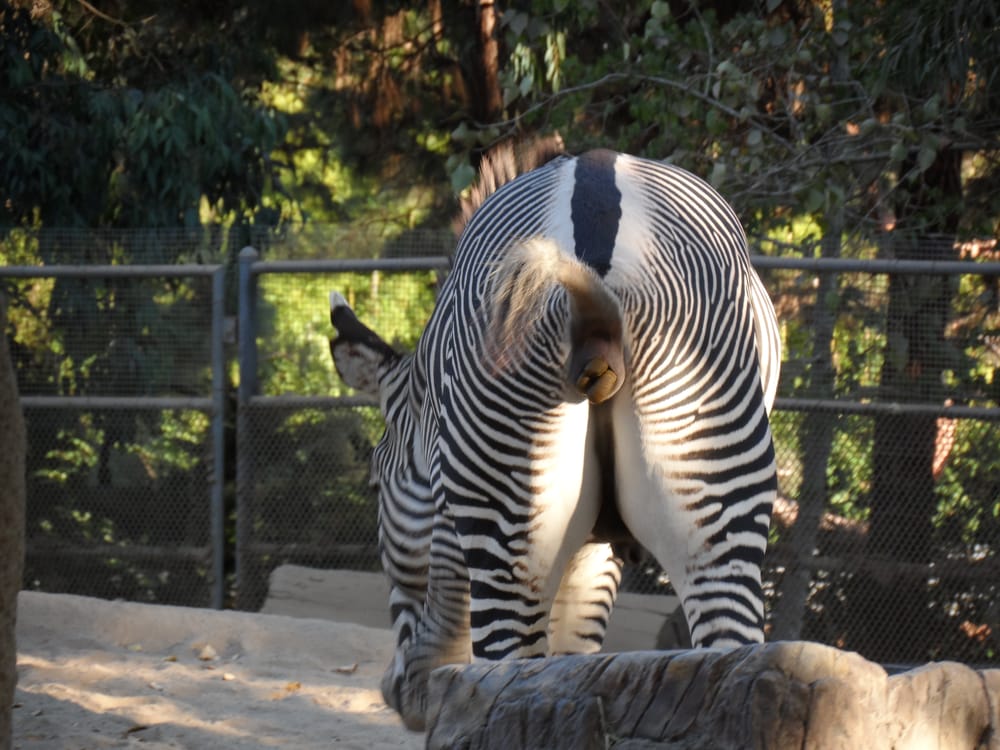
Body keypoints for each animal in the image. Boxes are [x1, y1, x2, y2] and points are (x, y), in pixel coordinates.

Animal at [329, 141, 780, 731]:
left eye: (376, 486)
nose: (401, 691)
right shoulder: (597, 549)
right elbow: (574, 659)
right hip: (715, 493)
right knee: (729, 650)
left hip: (511, 513)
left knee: (505, 672)